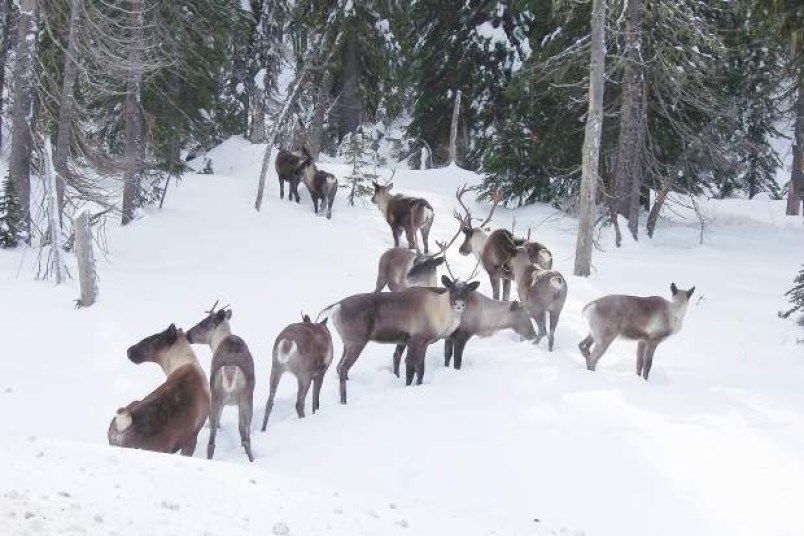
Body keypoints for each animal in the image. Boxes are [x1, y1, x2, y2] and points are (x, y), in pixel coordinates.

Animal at [186, 308, 254, 462]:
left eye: (203, 323)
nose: (187, 334)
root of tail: (230, 371)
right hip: (244, 398)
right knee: (245, 435)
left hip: (219, 396)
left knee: (212, 440)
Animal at [318, 276, 478, 402]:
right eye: (451, 288)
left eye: (467, 290)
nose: (459, 304)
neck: (439, 312)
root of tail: (336, 306)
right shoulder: (415, 341)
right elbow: (410, 369)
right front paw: (407, 387)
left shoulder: (424, 344)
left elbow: (421, 369)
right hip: (357, 342)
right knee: (343, 368)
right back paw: (344, 401)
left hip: (347, 344)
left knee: (339, 367)